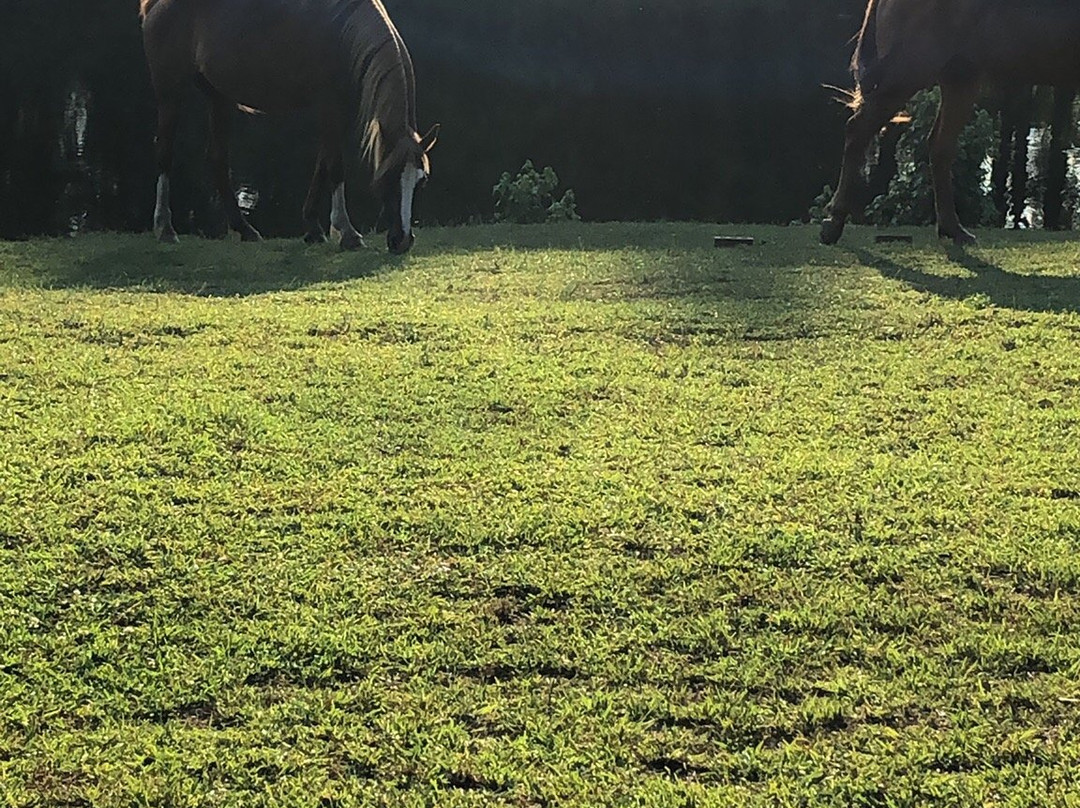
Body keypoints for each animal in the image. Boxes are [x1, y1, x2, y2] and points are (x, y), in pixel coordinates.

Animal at [140, 0, 438, 254]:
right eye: (388, 178)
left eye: (421, 181)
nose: (402, 240)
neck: (343, 35)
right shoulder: (328, 105)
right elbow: (335, 166)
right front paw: (347, 232)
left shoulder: (339, 110)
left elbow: (323, 164)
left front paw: (314, 229)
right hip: (170, 91)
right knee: (164, 152)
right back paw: (165, 228)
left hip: (219, 96)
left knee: (217, 159)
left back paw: (245, 229)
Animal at [820, 0, 1080, 246]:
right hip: (908, 75)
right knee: (858, 130)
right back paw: (833, 224)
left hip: (960, 79)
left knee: (939, 146)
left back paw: (954, 230)